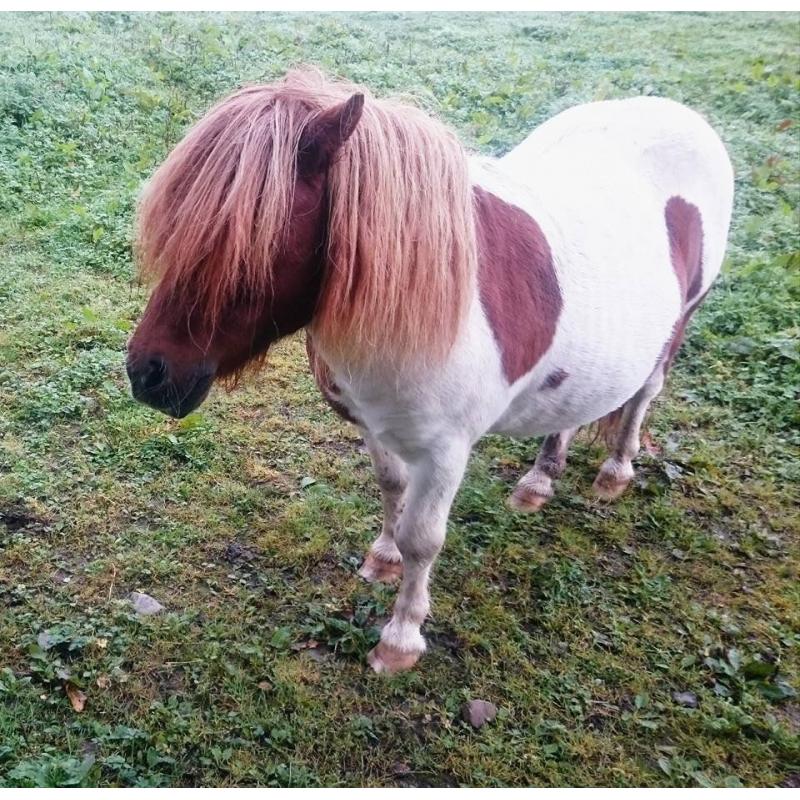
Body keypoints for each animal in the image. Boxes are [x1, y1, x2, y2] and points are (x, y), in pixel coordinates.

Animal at [126, 68, 734, 674]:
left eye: (245, 243)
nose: (146, 373)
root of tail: (677, 113)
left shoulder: (446, 451)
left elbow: (423, 539)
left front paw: (400, 637)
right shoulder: (375, 425)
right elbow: (392, 487)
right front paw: (383, 556)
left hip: (679, 323)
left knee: (643, 395)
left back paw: (616, 470)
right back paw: (539, 480)